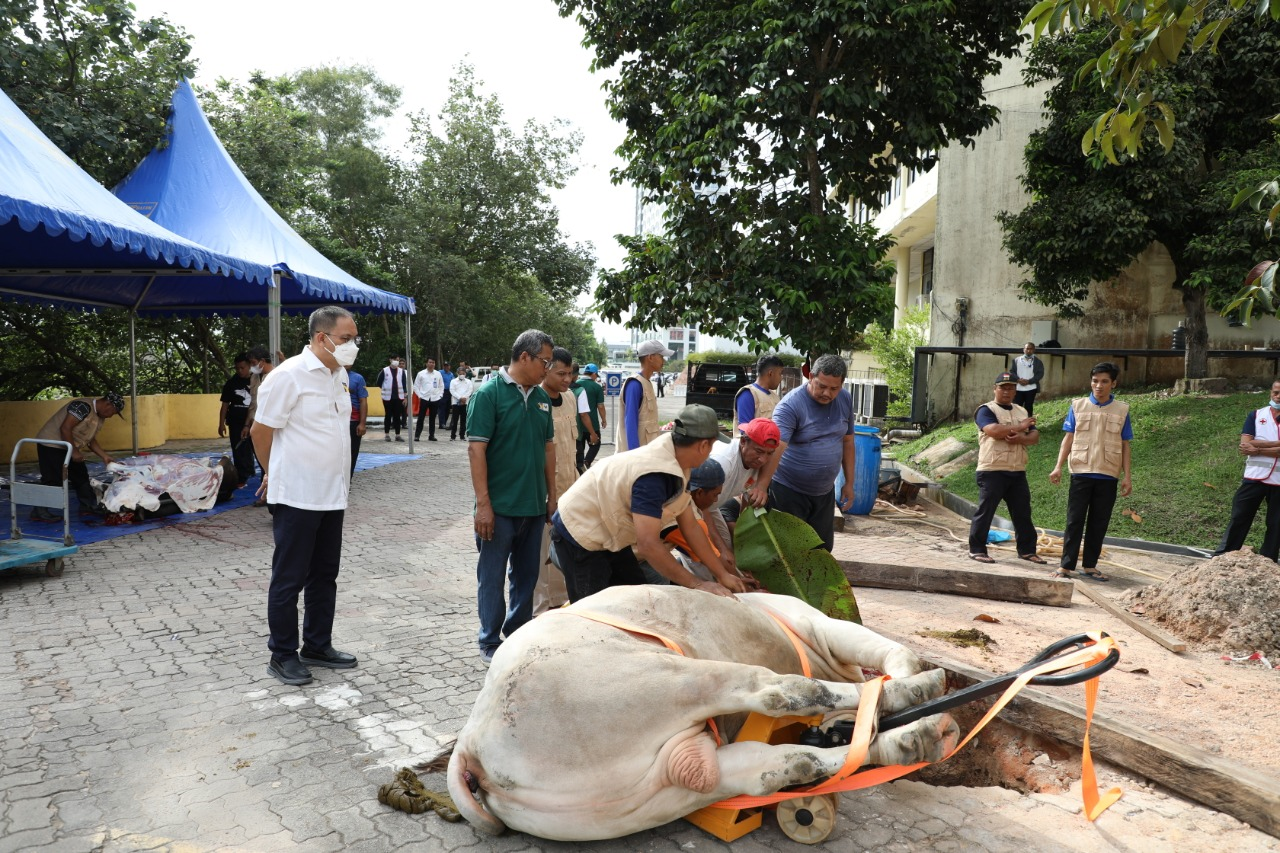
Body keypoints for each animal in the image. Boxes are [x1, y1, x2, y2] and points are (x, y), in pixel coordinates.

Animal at [430, 584, 962, 835]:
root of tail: (471, 740)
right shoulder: (823, 625)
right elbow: (894, 654)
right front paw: (910, 683)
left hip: (653, 794)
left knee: (780, 766)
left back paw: (916, 739)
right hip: (675, 678)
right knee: (784, 692)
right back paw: (918, 698)